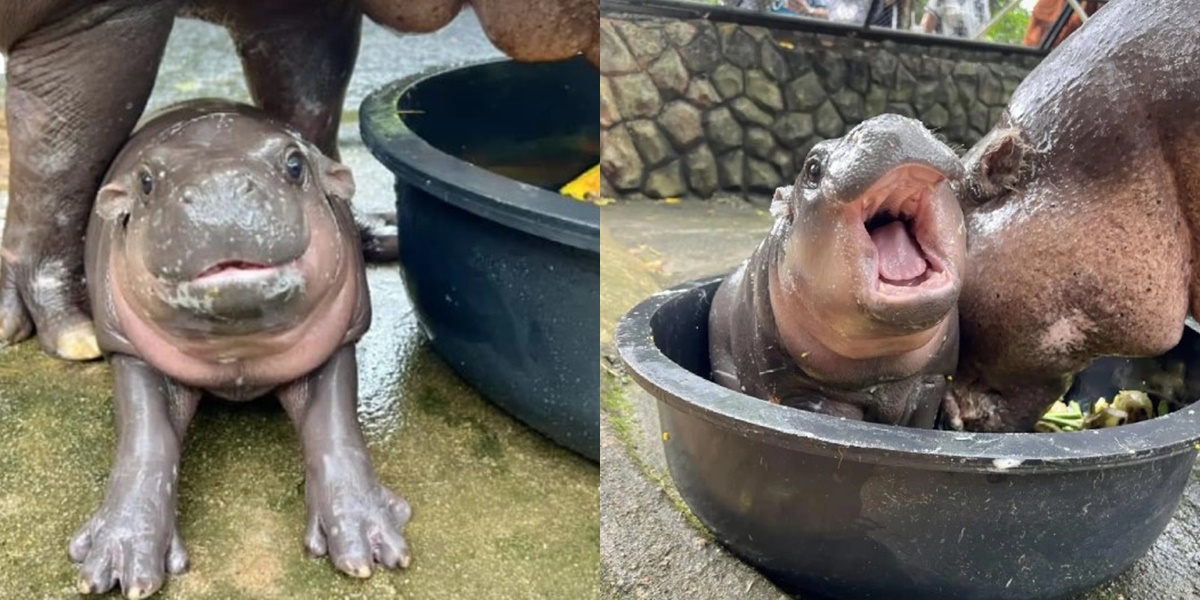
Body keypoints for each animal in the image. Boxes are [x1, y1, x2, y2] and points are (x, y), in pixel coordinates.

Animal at [75, 100, 415, 597]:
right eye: (146, 181)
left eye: (295, 165)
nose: (217, 189)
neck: (238, 349)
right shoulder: (129, 352)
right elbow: (147, 439)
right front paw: (117, 564)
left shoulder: (339, 338)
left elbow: (335, 426)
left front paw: (367, 545)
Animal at [705, 114, 969, 427]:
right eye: (812, 167)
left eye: (922, 124)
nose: (888, 123)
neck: (882, 361)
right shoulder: (809, 397)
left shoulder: (932, 380)